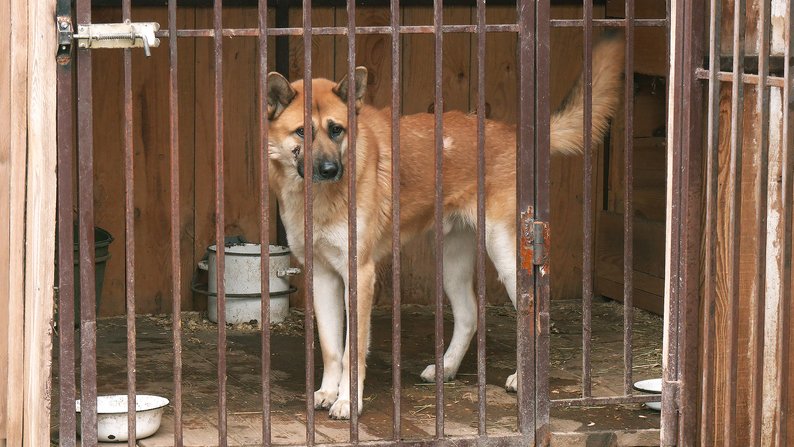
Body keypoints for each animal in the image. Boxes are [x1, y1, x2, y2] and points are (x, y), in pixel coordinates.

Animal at [266, 36, 624, 420]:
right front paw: (326, 392)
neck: (319, 199)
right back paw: (447, 368)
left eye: (337, 129)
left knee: (531, 316)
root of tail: (513, 134)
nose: (330, 170)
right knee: (469, 314)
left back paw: (523, 380)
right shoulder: (322, 275)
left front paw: (348, 400)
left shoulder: (358, 274)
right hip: (450, 264)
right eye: (302, 131)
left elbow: (353, 352)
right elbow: (331, 348)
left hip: (506, 254)